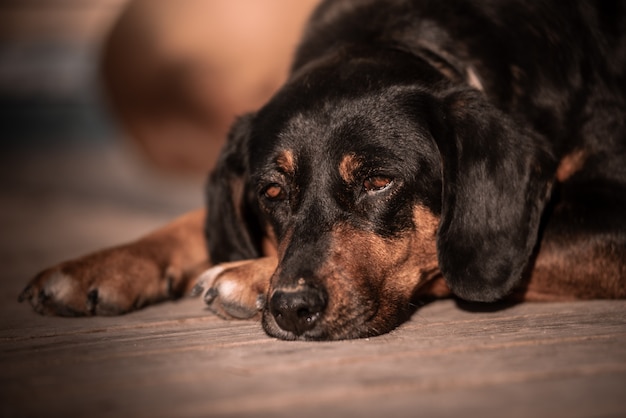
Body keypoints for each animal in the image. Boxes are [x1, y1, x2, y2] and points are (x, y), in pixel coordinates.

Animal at [18, 0, 624, 340]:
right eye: (270, 192)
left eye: (379, 181)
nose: (291, 308)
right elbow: (190, 221)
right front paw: (100, 266)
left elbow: (445, 262)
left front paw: (246, 275)